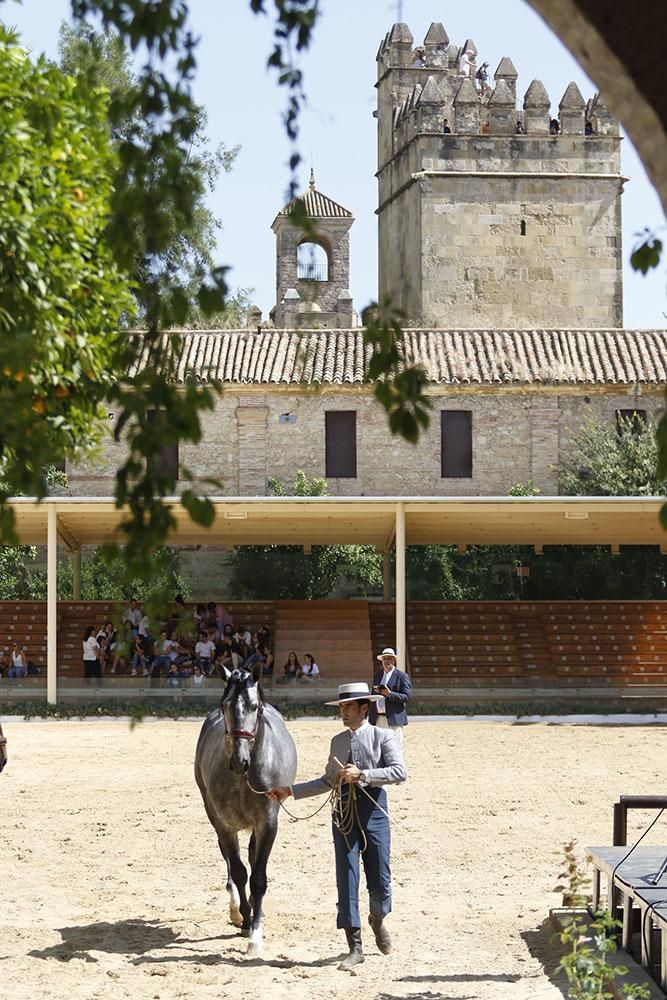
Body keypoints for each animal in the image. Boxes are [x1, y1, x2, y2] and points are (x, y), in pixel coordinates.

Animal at [194, 664, 296, 952]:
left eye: (253, 707)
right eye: (225, 705)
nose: (240, 761)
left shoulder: (267, 824)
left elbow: (258, 877)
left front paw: (255, 936)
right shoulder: (225, 826)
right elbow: (239, 872)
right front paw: (246, 918)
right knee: (231, 862)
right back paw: (237, 910)